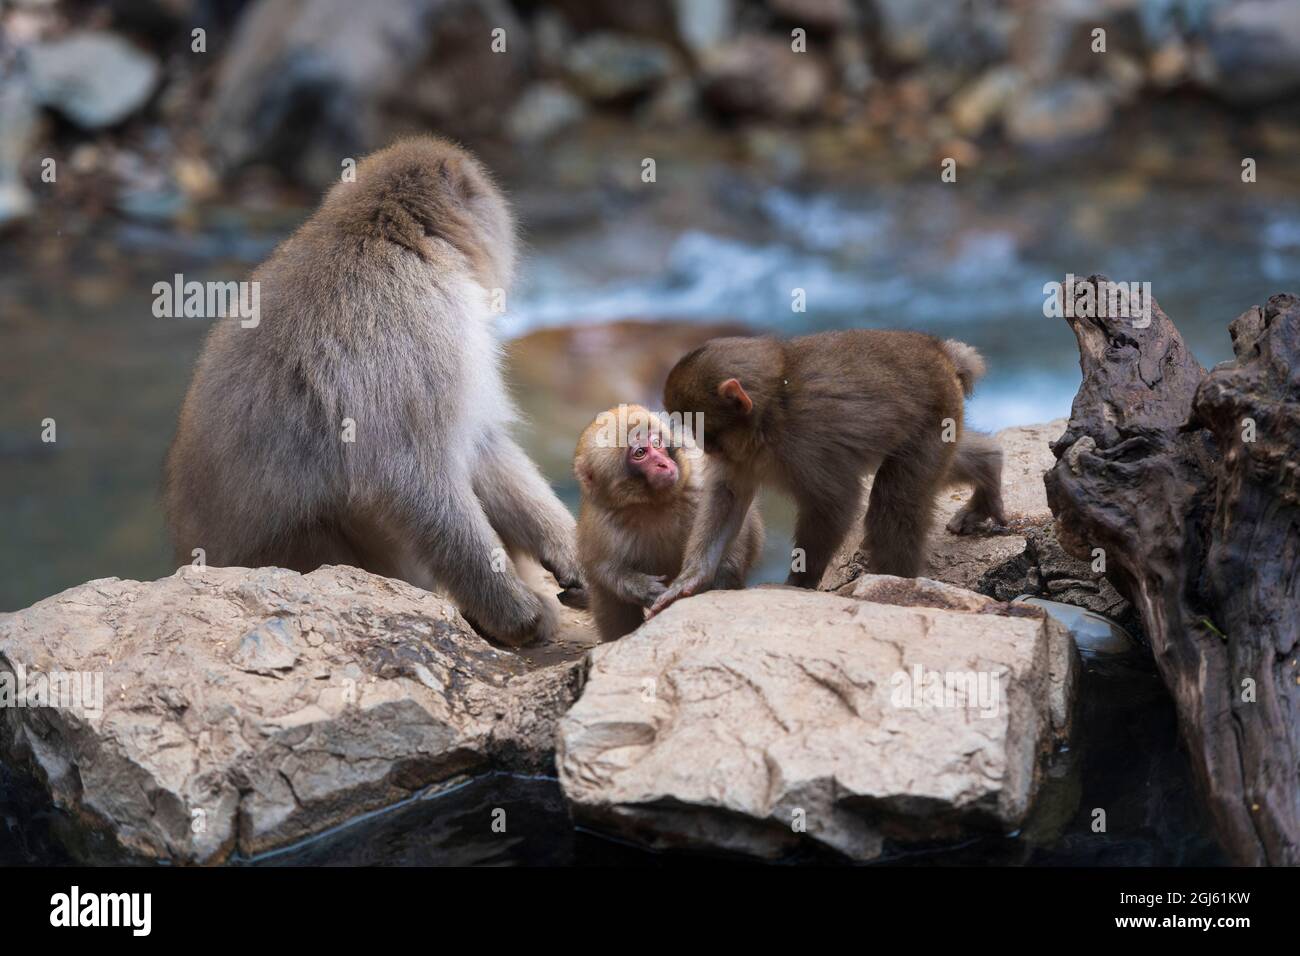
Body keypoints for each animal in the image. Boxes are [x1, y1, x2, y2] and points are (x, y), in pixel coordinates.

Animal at [577, 405, 759, 642]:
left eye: (656, 443)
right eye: (640, 453)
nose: (663, 463)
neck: (655, 502)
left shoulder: (698, 481)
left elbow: (732, 520)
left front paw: (720, 577)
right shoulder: (603, 522)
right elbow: (603, 567)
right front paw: (644, 588)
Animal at [655, 329, 1008, 613]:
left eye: (702, 429)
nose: (703, 447)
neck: (770, 412)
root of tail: (940, 350)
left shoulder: (806, 443)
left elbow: (835, 504)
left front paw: (800, 581)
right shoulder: (740, 456)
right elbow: (727, 497)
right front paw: (692, 578)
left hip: (936, 410)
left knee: (896, 500)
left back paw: (895, 580)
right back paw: (990, 468)